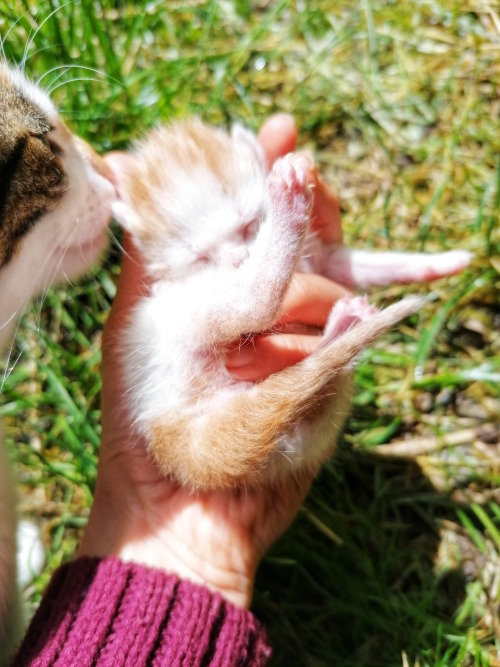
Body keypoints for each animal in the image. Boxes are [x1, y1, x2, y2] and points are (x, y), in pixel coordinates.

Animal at [113, 118, 472, 490]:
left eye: (249, 225)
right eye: (200, 257)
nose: (240, 261)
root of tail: (181, 443)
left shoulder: (324, 258)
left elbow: (364, 265)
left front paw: (444, 263)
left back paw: (345, 325)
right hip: (177, 323)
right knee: (254, 304)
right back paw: (289, 207)